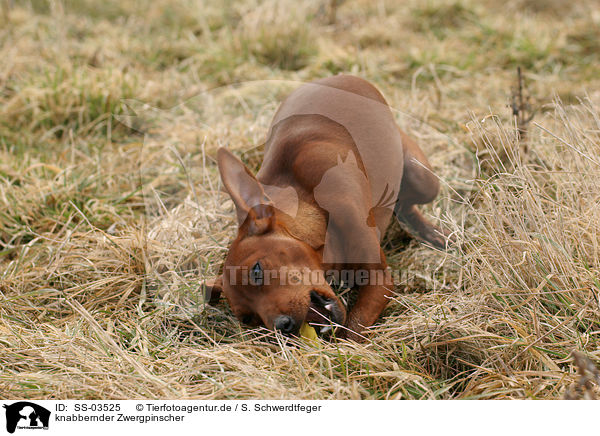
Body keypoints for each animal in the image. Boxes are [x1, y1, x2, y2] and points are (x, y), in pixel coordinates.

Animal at [204, 74, 448, 340]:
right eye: (248, 319)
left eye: (256, 271)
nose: (283, 327)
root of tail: (339, 76)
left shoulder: (379, 278)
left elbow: (352, 331)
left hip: (422, 178)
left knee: (407, 203)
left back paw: (432, 233)